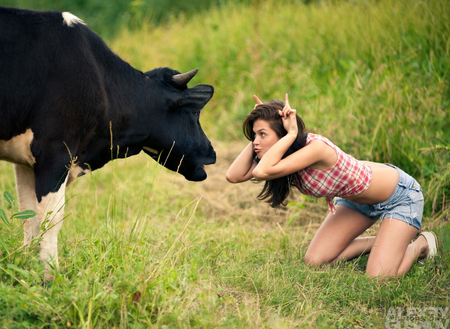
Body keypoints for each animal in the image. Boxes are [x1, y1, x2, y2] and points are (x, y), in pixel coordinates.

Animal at [0, 6, 217, 278]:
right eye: (195, 113)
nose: (212, 152)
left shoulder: (26, 161)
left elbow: (29, 215)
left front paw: (27, 266)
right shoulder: (55, 151)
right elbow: (52, 218)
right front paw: (50, 274)